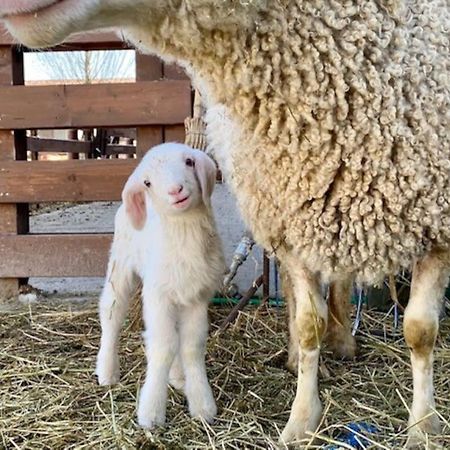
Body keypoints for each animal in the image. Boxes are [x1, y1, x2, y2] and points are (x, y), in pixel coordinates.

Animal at [97, 143, 227, 428]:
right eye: (147, 182)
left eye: (189, 161)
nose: (175, 191)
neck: (184, 232)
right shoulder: (157, 296)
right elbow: (163, 346)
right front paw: (151, 413)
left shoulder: (196, 297)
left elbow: (191, 346)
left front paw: (202, 405)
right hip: (120, 266)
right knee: (111, 315)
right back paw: (107, 372)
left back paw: (178, 377)